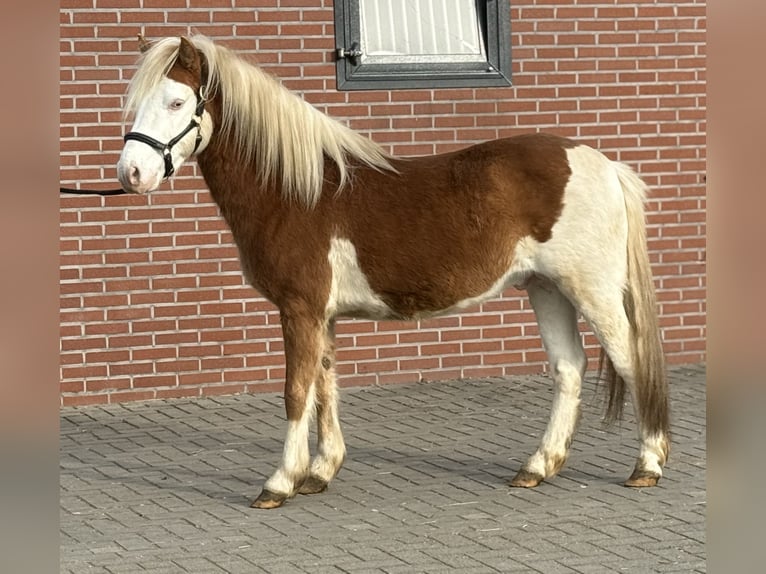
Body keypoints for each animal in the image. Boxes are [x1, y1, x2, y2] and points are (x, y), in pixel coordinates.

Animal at [116, 35, 670, 509]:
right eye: (135, 103)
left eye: (175, 102)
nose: (131, 174)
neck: (297, 191)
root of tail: (605, 166)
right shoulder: (322, 316)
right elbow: (325, 387)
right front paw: (321, 472)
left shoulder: (300, 309)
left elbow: (296, 392)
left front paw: (279, 482)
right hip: (547, 289)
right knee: (569, 368)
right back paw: (538, 465)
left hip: (592, 290)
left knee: (631, 359)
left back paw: (648, 465)